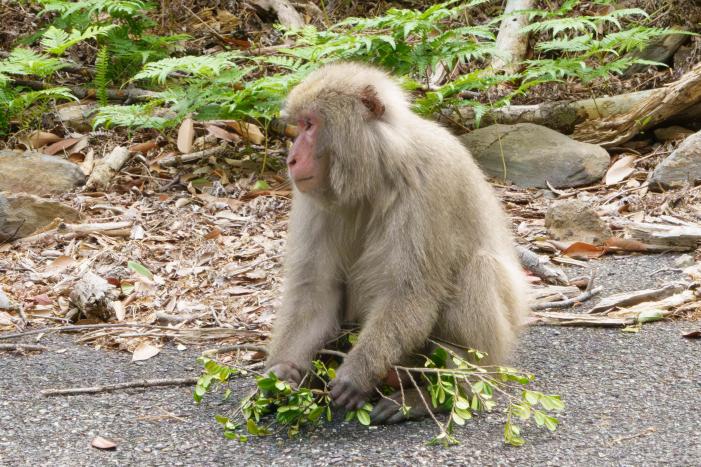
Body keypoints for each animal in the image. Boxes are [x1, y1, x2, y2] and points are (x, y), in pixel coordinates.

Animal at [266, 61, 528, 424]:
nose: (291, 159)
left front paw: (358, 372)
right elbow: (315, 288)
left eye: (310, 125)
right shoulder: (311, 198)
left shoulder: (429, 181)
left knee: (479, 269)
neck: (376, 169)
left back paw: (439, 395)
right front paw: (283, 376)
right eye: (299, 126)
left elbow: (411, 289)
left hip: (494, 353)